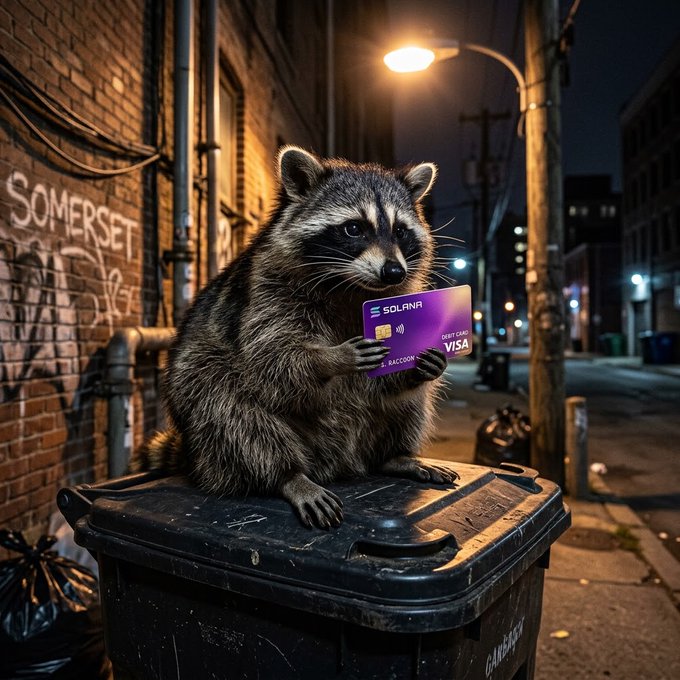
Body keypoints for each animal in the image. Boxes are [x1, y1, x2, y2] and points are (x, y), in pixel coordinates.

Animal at [137, 146, 458, 528]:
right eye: (354, 228)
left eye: (400, 231)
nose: (393, 272)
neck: (350, 285)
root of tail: (339, 464)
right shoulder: (266, 291)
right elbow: (272, 356)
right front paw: (329, 359)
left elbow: (385, 384)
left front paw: (419, 364)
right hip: (203, 388)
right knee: (223, 401)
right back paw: (289, 476)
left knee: (412, 403)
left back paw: (394, 456)